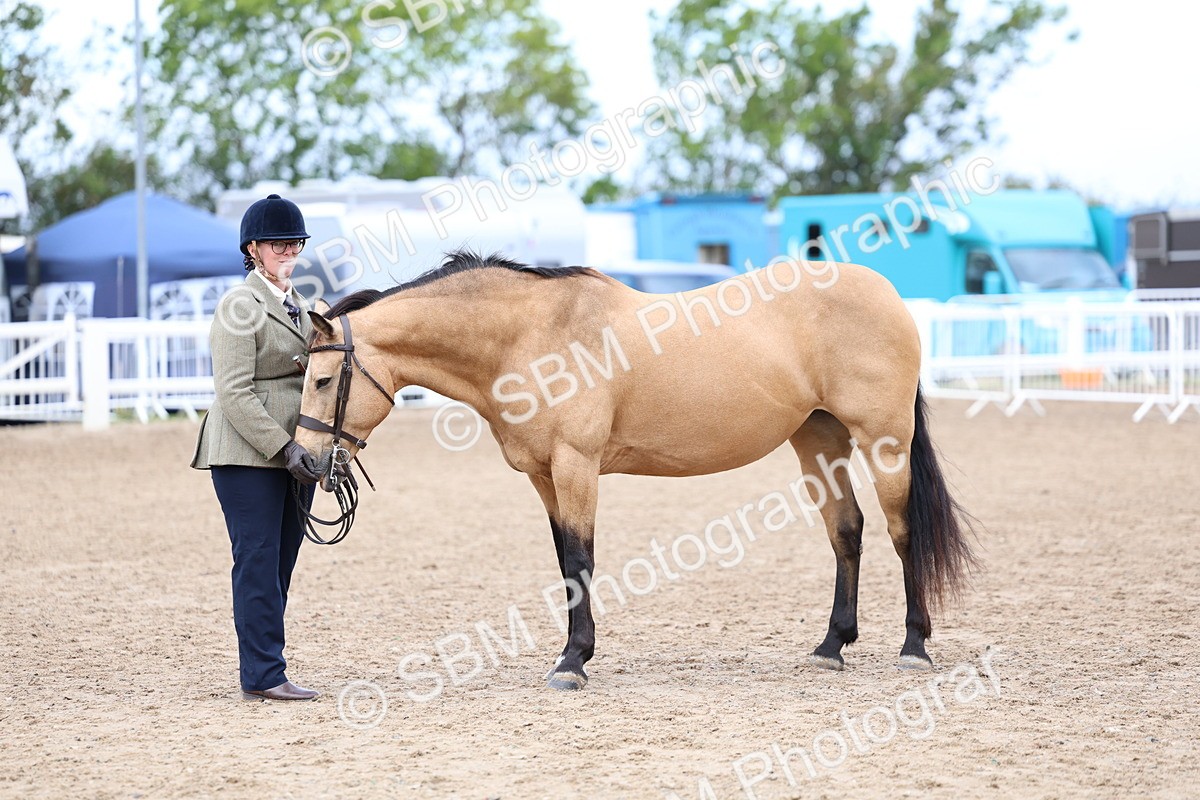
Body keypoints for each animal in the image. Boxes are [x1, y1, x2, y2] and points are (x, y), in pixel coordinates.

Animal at [294, 249, 977, 690]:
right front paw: (573, 652)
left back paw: (914, 647)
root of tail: (885, 293)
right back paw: (831, 647)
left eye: (323, 379)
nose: (301, 461)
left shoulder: (575, 466)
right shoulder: (544, 477)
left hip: (883, 440)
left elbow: (582, 559)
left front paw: (572, 662)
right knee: (846, 531)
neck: (531, 336)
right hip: (818, 438)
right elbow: (565, 565)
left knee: (901, 532)